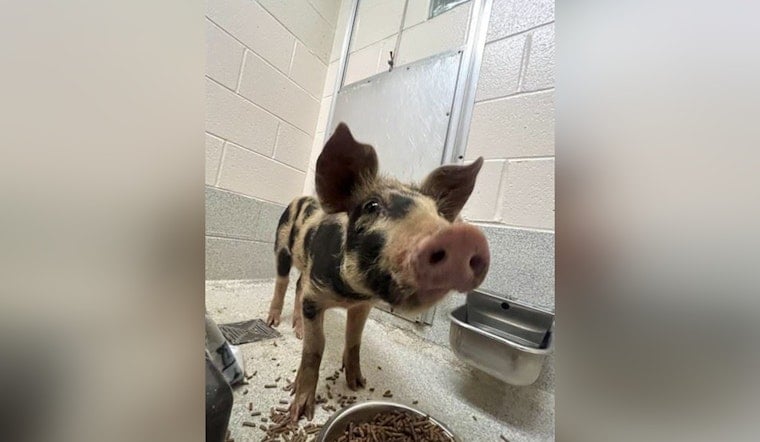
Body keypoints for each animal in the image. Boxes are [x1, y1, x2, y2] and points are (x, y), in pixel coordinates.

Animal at [266, 123, 490, 421]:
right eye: (371, 206)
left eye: (439, 213)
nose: (463, 237)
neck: (350, 294)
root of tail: (301, 197)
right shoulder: (316, 296)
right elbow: (316, 348)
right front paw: (299, 412)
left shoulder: (363, 305)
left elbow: (354, 340)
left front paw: (358, 384)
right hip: (281, 246)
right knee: (282, 281)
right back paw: (272, 323)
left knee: (299, 284)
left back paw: (298, 330)